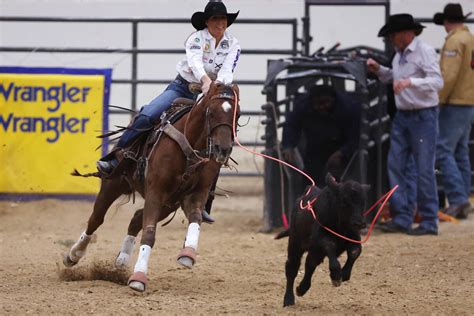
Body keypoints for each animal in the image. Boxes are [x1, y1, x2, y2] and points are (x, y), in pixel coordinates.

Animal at [63, 81, 241, 292]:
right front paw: (139, 278)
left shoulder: (195, 195)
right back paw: (73, 255)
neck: (190, 148)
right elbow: (149, 234)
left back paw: (122, 261)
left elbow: (196, 219)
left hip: (168, 205)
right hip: (114, 184)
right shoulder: (156, 191)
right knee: (96, 219)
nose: (223, 149)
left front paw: (187, 254)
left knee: (135, 218)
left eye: (237, 115)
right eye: (211, 112)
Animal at [276, 173, 368, 306]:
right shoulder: (321, 239)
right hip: (295, 243)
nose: (359, 223)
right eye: (344, 201)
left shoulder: (354, 238)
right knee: (292, 268)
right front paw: (336, 276)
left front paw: (344, 274)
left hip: (314, 252)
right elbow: (330, 247)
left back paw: (301, 289)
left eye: (363, 202)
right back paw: (288, 299)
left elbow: (355, 252)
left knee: (310, 264)